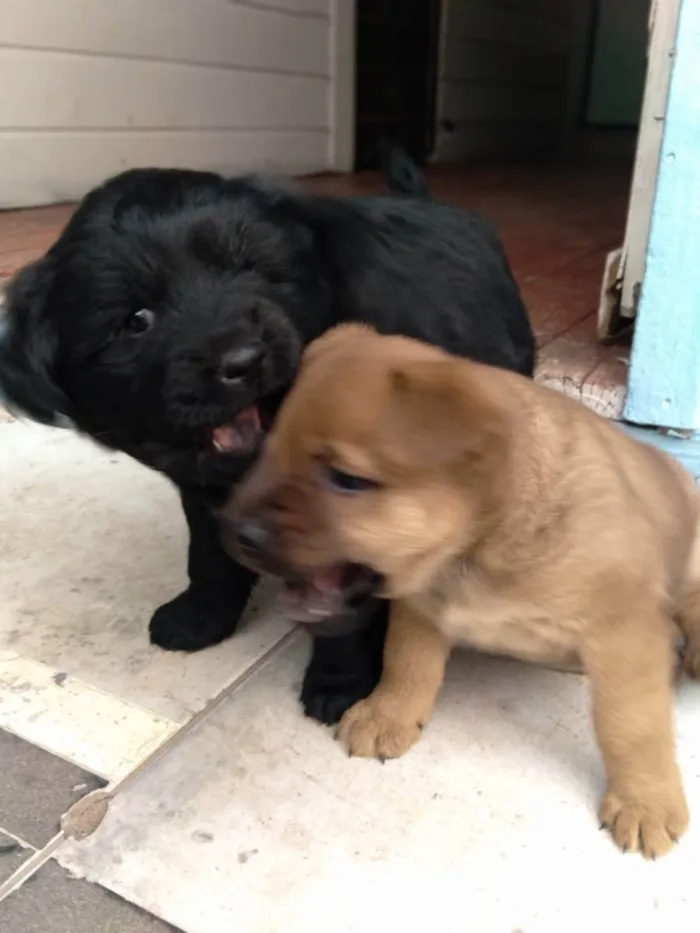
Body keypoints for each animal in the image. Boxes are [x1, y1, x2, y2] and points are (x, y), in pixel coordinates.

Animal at [0, 155, 532, 720]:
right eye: (136, 320)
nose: (244, 359)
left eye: (253, 269)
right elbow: (209, 557)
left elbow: (345, 607)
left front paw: (339, 684)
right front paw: (201, 617)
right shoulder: (205, 492)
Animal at [221, 322, 700, 860]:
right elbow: (406, 664)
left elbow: (631, 727)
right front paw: (388, 715)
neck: (479, 546)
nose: (235, 532)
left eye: (347, 479)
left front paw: (645, 801)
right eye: (271, 449)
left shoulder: (624, 634)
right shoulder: (420, 609)